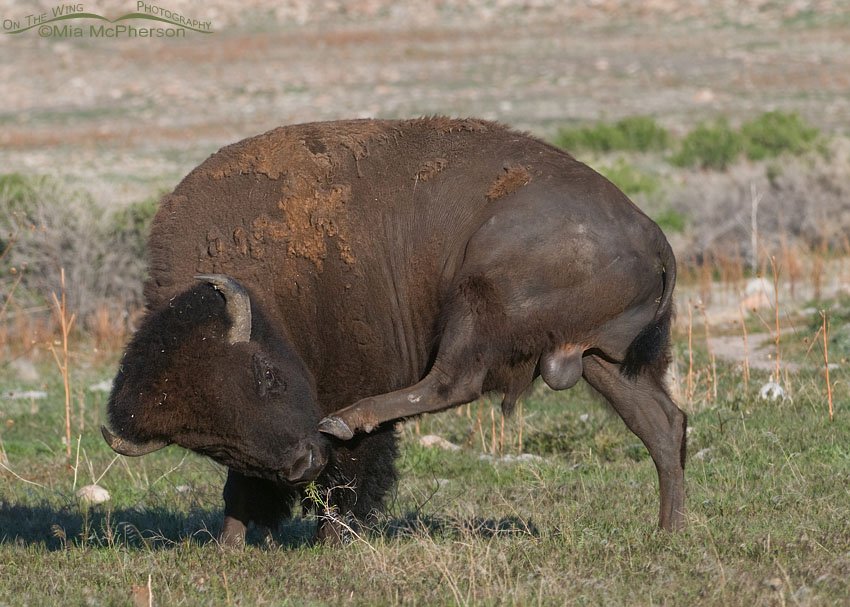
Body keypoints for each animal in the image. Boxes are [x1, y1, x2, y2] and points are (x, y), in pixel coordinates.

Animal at [102, 117, 686, 545]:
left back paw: (346, 421)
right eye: (209, 443)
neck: (272, 291)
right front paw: (228, 546)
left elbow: (351, 475)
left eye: (266, 375)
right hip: (604, 359)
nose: (300, 463)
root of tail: (653, 234)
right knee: (663, 423)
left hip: (484, 297)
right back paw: (668, 530)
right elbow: (242, 489)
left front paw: (331, 540)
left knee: (453, 381)